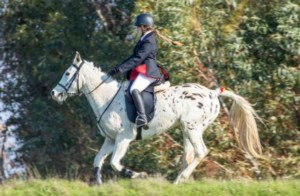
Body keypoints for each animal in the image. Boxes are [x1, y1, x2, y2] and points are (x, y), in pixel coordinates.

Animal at [51, 51, 262, 184]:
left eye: (68, 73)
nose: (54, 94)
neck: (108, 98)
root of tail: (212, 93)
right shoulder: (110, 140)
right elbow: (97, 162)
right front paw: (99, 185)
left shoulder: (123, 139)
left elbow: (114, 163)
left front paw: (140, 176)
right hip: (186, 130)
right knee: (188, 156)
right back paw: (177, 181)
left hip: (192, 128)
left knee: (201, 152)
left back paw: (182, 178)